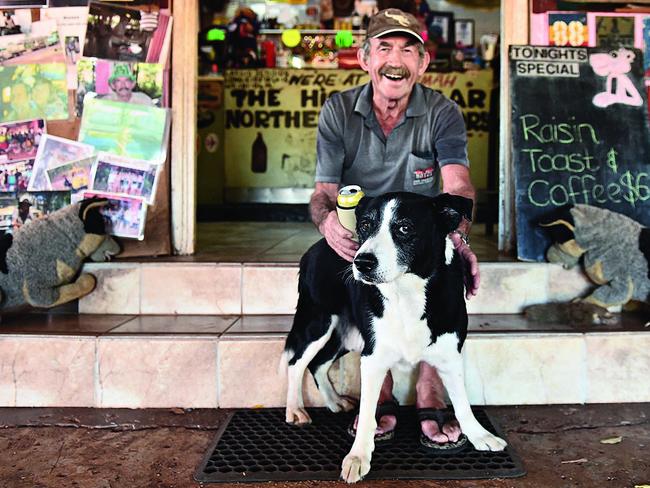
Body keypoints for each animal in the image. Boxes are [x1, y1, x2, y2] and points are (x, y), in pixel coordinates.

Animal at [282, 193, 506, 482]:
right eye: (365, 226)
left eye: (405, 228)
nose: (361, 262)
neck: (407, 291)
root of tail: (316, 247)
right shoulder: (373, 358)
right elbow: (368, 412)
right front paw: (358, 457)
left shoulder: (449, 354)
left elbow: (461, 401)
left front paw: (479, 434)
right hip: (319, 322)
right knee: (296, 363)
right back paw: (295, 409)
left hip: (348, 334)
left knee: (318, 363)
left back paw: (334, 401)